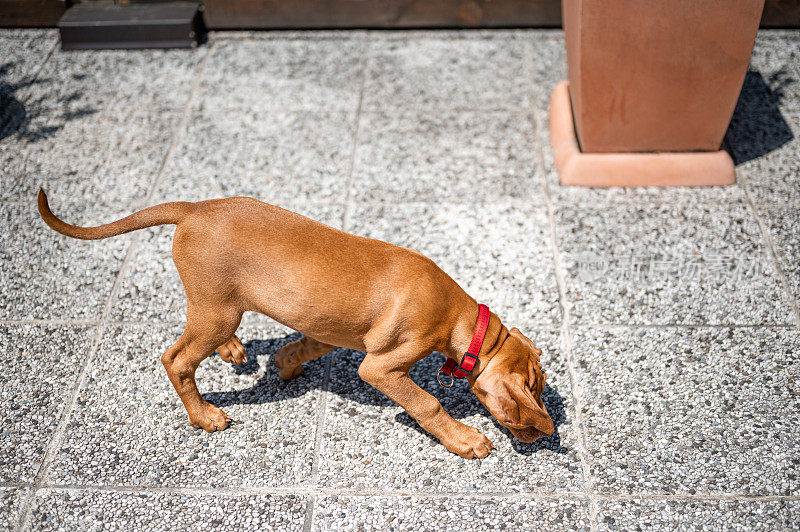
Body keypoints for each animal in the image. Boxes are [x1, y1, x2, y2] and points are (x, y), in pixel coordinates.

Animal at [36, 191, 552, 458]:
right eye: (536, 387)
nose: (549, 435)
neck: (458, 316)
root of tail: (196, 207)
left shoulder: (326, 329)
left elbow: (300, 347)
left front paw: (285, 364)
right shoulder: (381, 366)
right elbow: (427, 404)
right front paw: (465, 440)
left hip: (220, 305)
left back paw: (233, 350)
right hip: (216, 308)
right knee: (176, 358)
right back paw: (204, 416)